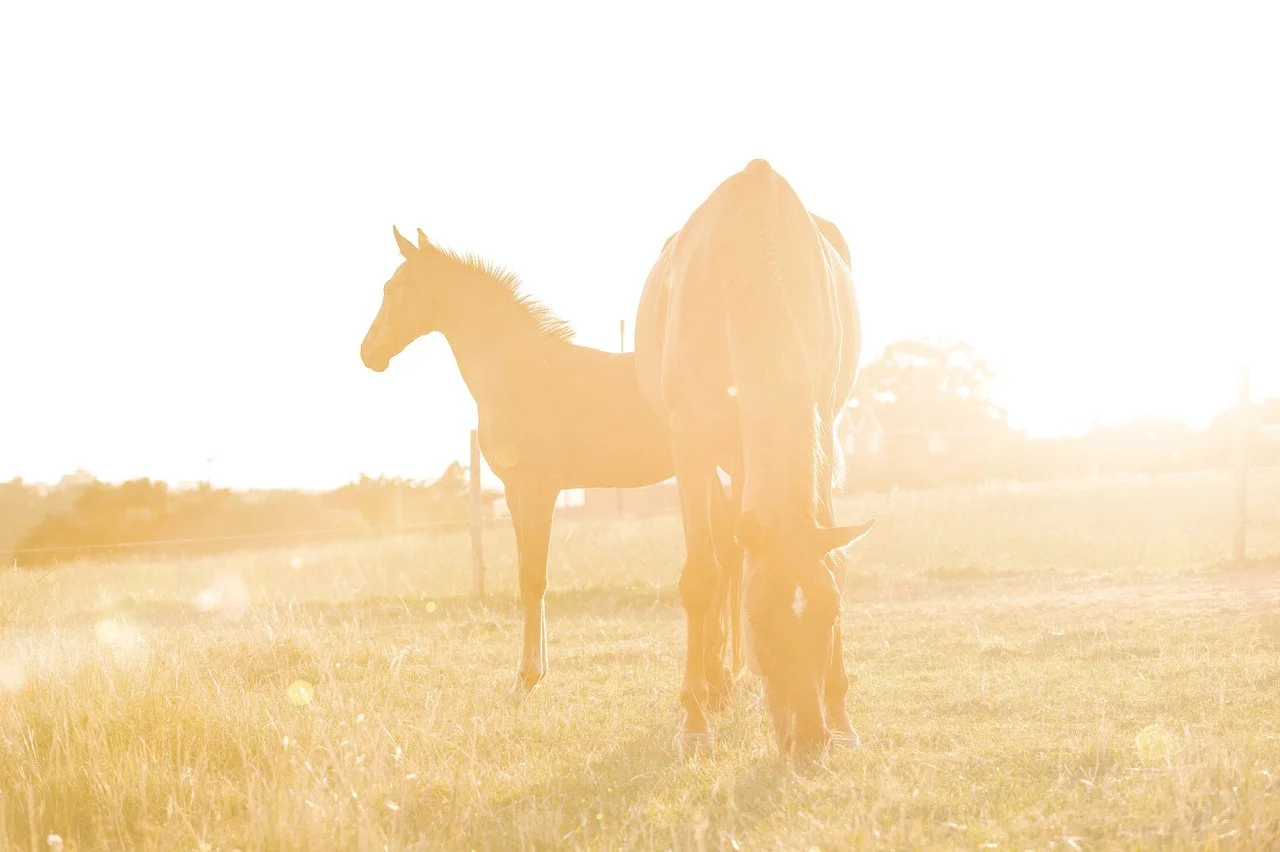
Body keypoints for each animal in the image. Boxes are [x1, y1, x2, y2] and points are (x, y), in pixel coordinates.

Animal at [361, 227, 674, 695]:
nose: (368, 352)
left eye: (391, 288)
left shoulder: (538, 488)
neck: (520, 374)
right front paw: (534, 672)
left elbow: (533, 578)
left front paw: (526, 678)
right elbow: (528, 575)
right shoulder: (514, 492)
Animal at [635, 160, 875, 756]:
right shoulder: (690, 439)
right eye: (759, 619)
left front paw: (842, 715)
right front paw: (695, 719)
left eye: (832, 614)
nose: (809, 737)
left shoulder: (821, 420)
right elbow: (701, 574)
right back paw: (715, 680)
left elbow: (832, 554)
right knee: (723, 547)